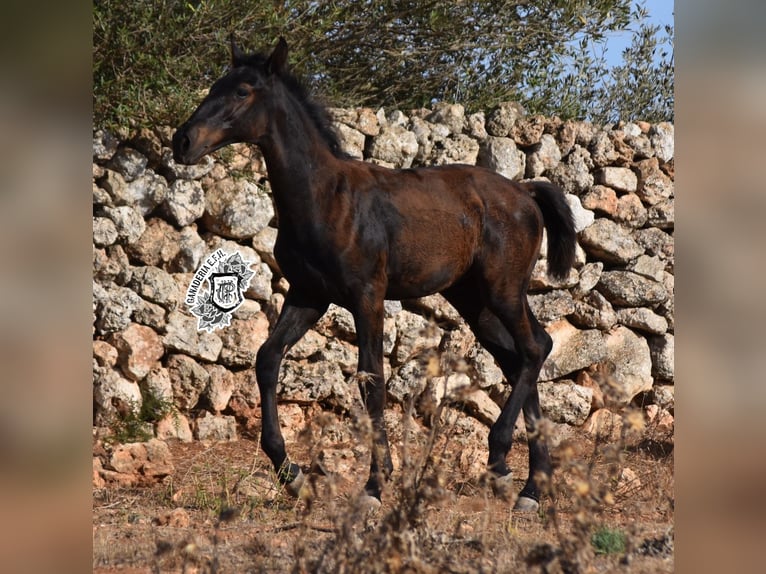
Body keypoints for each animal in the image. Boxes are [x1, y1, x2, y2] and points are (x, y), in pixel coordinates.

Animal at [174, 37, 580, 512]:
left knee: (534, 349)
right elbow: (268, 358)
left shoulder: (367, 296)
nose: (182, 141)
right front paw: (291, 474)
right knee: (524, 355)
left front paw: (375, 484)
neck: (325, 197)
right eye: (215, 85)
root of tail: (526, 192)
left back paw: (504, 462)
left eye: (243, 91)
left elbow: (373, 382)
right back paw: (530, 484)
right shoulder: (308, 294)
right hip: (474, 301)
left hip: (503, 290)